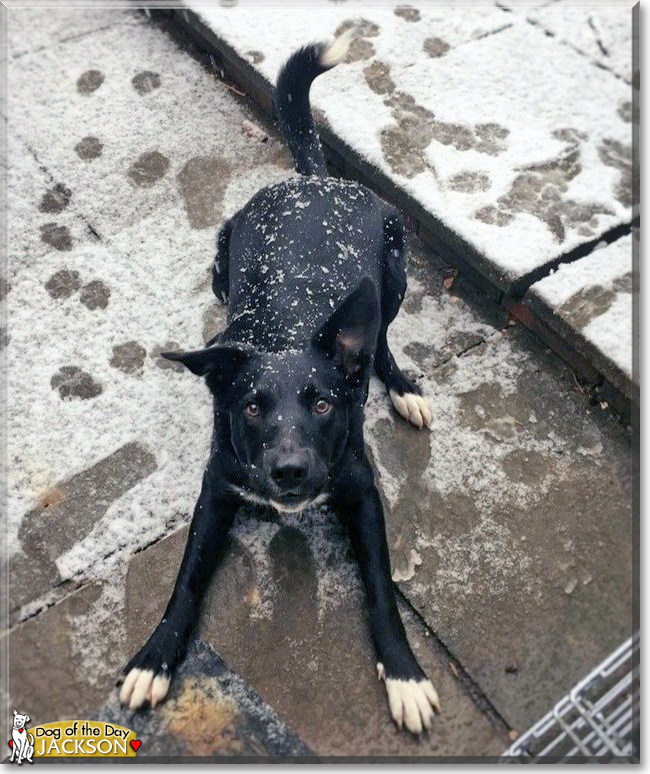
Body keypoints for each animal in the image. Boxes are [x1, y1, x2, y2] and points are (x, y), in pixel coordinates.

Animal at [119, 30, 438, 732]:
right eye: (251, 407)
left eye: (321, 404)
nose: (289, 471)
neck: (284, 332)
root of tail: (312, 180)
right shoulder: (216, 490)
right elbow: (184, 582)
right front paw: (155, 657)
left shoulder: (362, 491)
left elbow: (382, 588)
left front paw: (404, 672)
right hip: (219, 261)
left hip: (395, 275)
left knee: (378, 336)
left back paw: (400, 386)